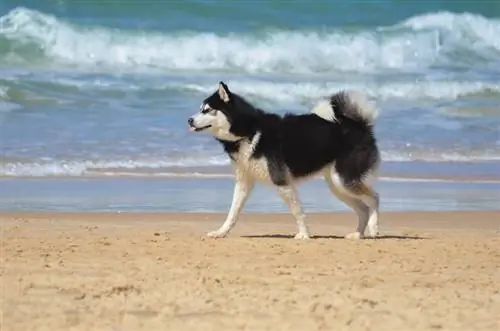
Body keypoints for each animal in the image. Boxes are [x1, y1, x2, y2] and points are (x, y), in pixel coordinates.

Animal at [189, 81, 380, 240]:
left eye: (207, 110)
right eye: (200, 109)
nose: (189, 120)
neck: (249, 131)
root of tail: (360, 125)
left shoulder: (281, 181)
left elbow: (297, 211)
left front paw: (304, 234)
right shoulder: (244, 182)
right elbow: (232, 213)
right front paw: (220, 232)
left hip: (343, 180)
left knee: (374, 198)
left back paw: (374, 227)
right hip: (337, 185)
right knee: (363, 208)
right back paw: (357, 234)